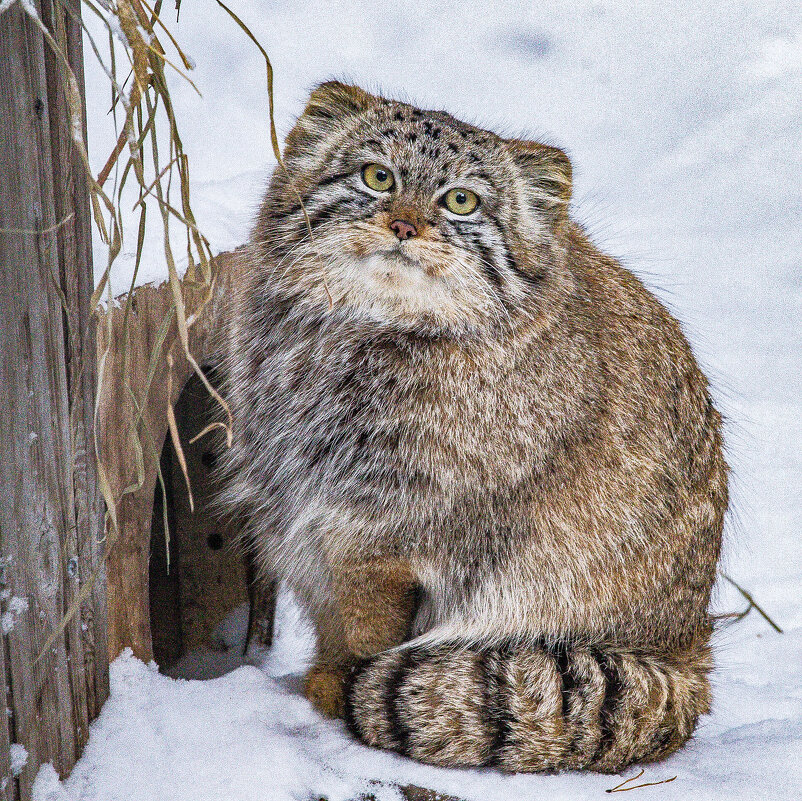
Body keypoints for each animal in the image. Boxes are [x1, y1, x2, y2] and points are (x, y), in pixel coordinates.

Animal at [219, 79, 724, 768]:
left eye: (462, 201)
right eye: (377, 176)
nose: (403, 224)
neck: (361, 333)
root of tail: (690, 649)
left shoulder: (389, 532)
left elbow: (367, 626)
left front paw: (340, 691)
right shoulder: (300, 503)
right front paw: (324, 678)